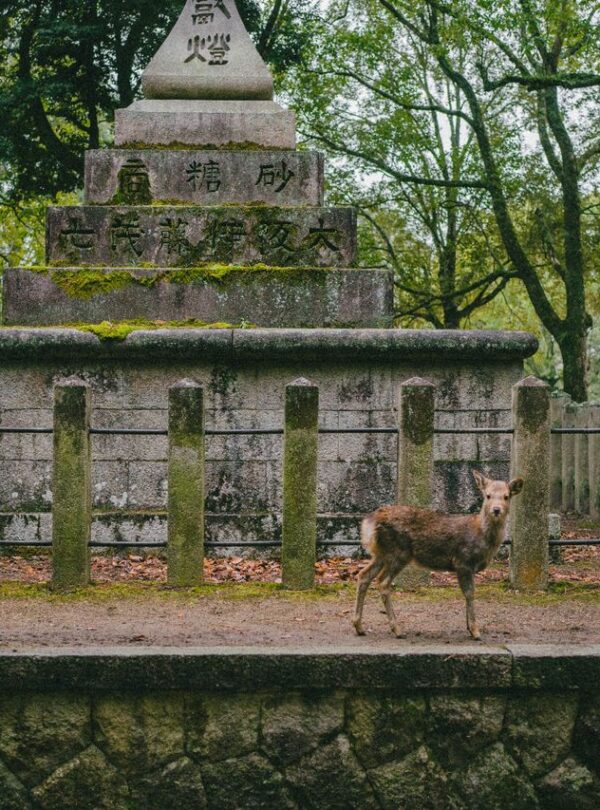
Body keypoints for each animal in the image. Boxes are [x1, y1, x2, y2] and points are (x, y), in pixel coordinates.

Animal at [353, 470, 523, 640]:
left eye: (506, 496)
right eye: (487, 495)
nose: (496, 509)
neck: (483, 538)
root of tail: (368, 523)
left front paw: (469, 627)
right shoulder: (463, 561)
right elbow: (469, 593)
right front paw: (475, 631)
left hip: (381, 553)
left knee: (364, 575)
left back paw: (359, 627)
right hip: (398, 552)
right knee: (382, 582)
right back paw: (397, 629)